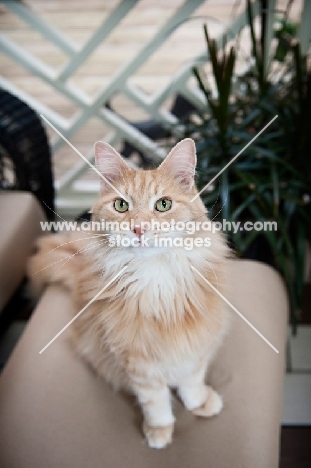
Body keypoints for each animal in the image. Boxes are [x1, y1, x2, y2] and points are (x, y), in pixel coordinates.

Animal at [28, 138, 230, 450]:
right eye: (121, 205)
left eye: (163, 204)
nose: (138, 229)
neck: (155, 279)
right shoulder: (137, 359)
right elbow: (155, 400)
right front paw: (159, 430)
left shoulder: (196, 341)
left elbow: (191, 380)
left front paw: (198, 403)